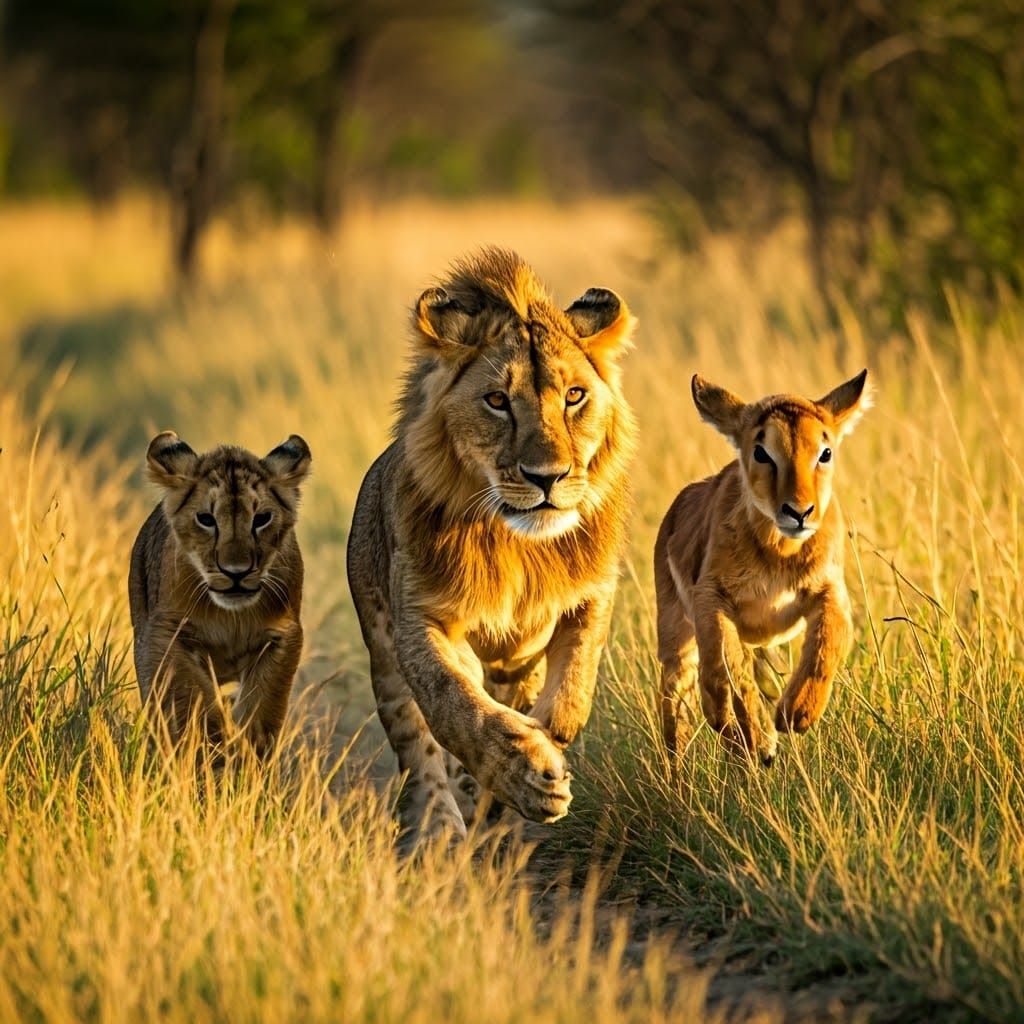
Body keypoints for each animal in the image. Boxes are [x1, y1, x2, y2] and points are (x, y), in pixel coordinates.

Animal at [129, 431, 311, 756]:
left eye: (261, 518)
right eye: (206, 519)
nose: (236, 572)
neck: (230, 616)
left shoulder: (283, 635)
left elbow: (263, 706)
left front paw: (250, 757)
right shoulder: (165, 634)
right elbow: (194, 702)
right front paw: (215, 753)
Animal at [347, 247, 637, 843]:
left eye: (574, 396)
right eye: (498, 401)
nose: (548, 476)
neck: (516, 544)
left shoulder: (594, 592)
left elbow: (572, 691)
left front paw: (543, 748)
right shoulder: (425, 618)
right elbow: (456, 704)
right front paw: (523, 771)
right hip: (383, 656)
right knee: (419, 747)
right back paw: (441, 828)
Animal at [655, 371, 870, 764]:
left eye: (825, 452)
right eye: (761, 452)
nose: (799, 512)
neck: (779, 551)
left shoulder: (831, 591)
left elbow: (826, 645)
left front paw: (797, 712)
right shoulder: (710, 595)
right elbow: (729, 666)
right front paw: (761, 736)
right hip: (675, 642)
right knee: (680, 707)